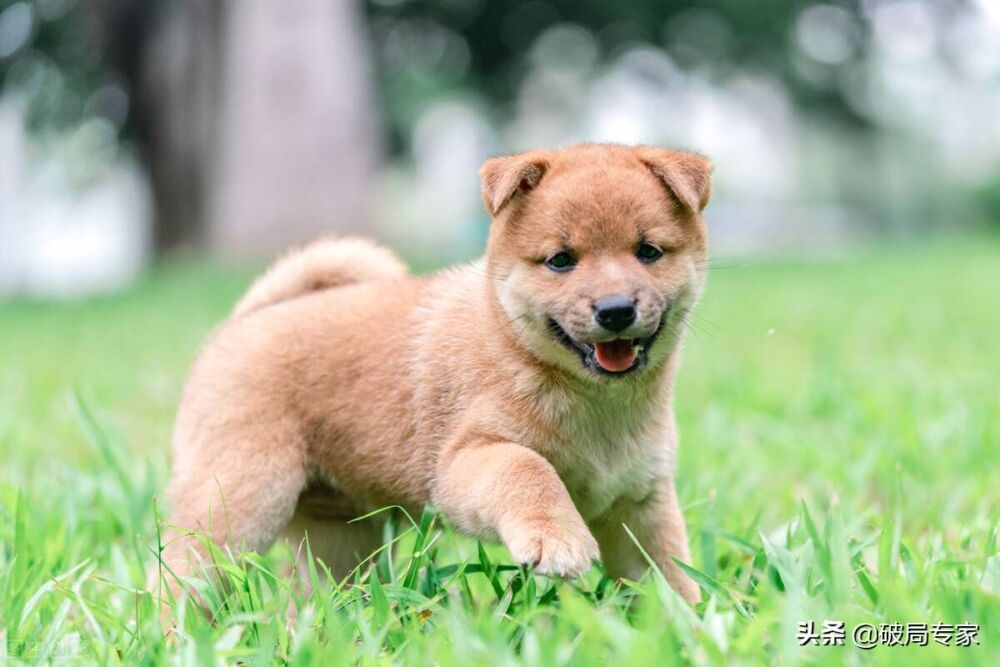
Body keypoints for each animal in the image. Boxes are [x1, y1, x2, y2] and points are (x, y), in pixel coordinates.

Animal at [154, 142, 712, 604]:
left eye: (648, 252)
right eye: (560, 260)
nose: (615, 310)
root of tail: (245, 318)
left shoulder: (641, 506)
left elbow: (668, 575)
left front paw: (689, 626)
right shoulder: (466, 460)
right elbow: (529, 469)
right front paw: (558, 538)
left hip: (339, 535)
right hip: (238, 500)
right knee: (179, 579)